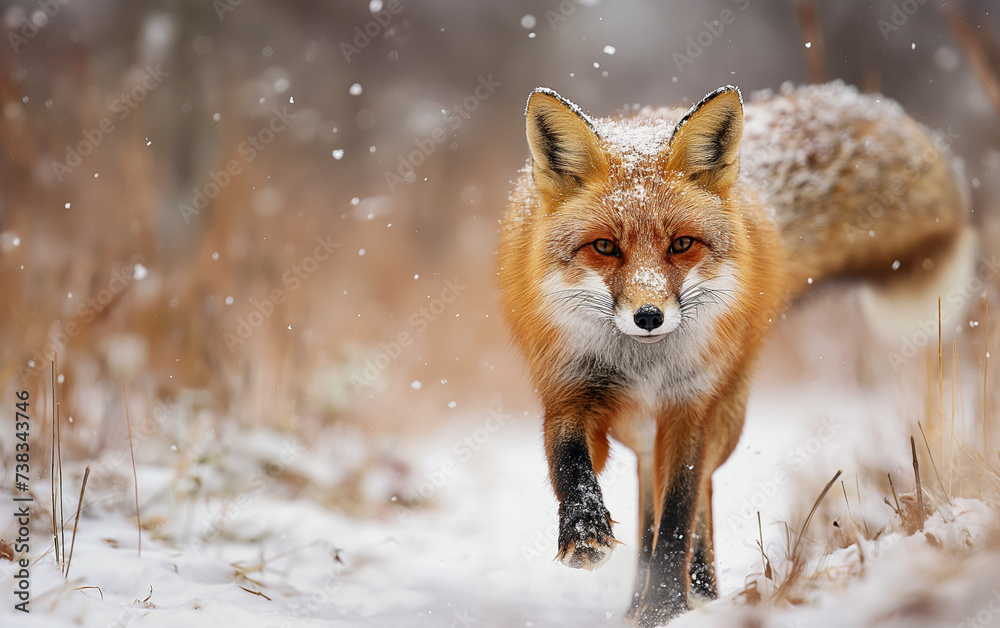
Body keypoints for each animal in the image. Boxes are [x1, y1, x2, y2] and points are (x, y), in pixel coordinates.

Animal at [497, 81, 971, 626]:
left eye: (682, 244)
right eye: (605, 247)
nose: (648, 316)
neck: (643, 367)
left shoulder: (691, 406)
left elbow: (679, 514)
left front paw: (667, 607)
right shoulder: (570, 393)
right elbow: (570, 465)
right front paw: (585, 533)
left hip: (724, 416)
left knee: (696, 494)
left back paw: (700, 592)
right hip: (643, 431)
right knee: (647, 492)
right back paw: (639, 601)